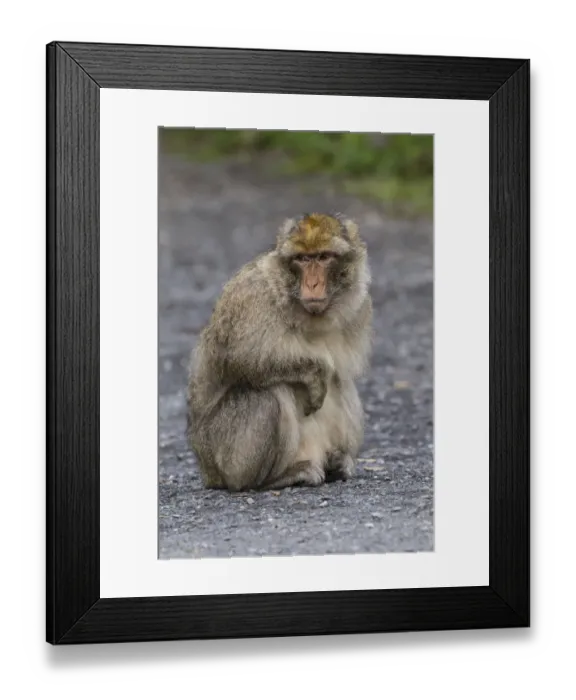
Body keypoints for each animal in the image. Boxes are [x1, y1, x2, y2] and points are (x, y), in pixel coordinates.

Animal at [186, 212, 373, 492]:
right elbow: (240, 362)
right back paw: (276, 478)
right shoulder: (251, 299)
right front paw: (314, 372)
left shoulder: (360, 306)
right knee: (269, 393)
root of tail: (208, 472)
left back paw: (337, 463)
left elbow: (341, 374)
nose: (313, 283)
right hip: (225, 456)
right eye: (302, 259)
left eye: (323, 257)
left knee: (343, 384)